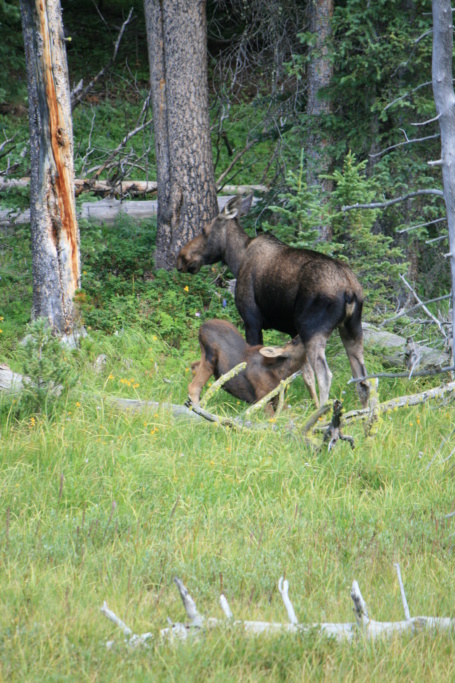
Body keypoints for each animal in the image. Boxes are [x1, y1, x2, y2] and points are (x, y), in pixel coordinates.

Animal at [175, 194, 370, 406]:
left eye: (204, 230)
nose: (181, 258)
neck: (237, 260)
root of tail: (350, 289)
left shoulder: (252, 320)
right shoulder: (293, 332)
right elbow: (305, 375)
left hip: (313, 329)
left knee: (326, 375)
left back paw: (323, 411)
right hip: (352, 327)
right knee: (363, 379)